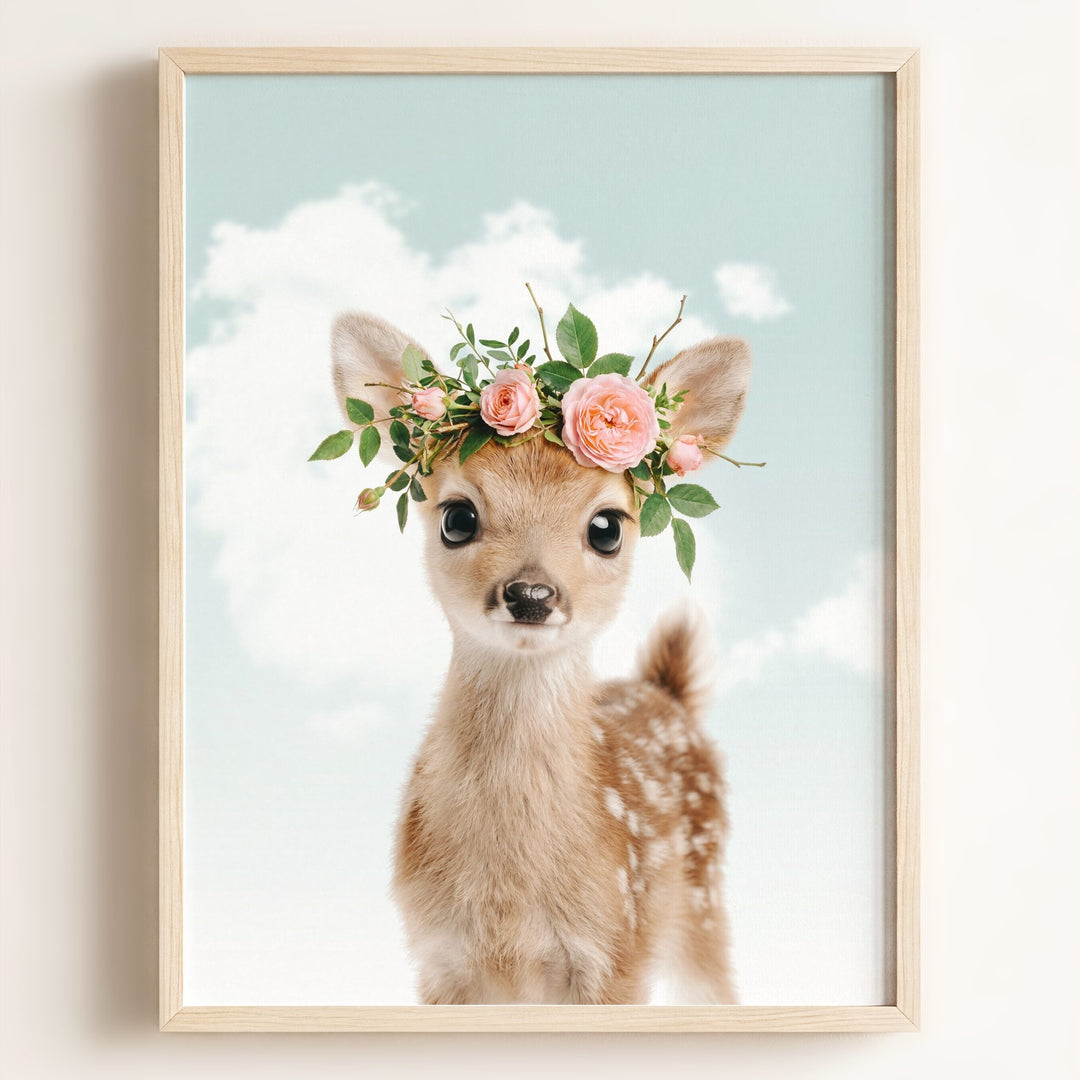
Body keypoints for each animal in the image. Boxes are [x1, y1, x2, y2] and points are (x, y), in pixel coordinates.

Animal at [329, 310, 752, 1005]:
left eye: (607, 527)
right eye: (457, 517)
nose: (531, 594)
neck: (509, 900)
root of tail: (666, 692)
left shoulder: (617, 951)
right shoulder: (438, 958)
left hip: (703, 900)